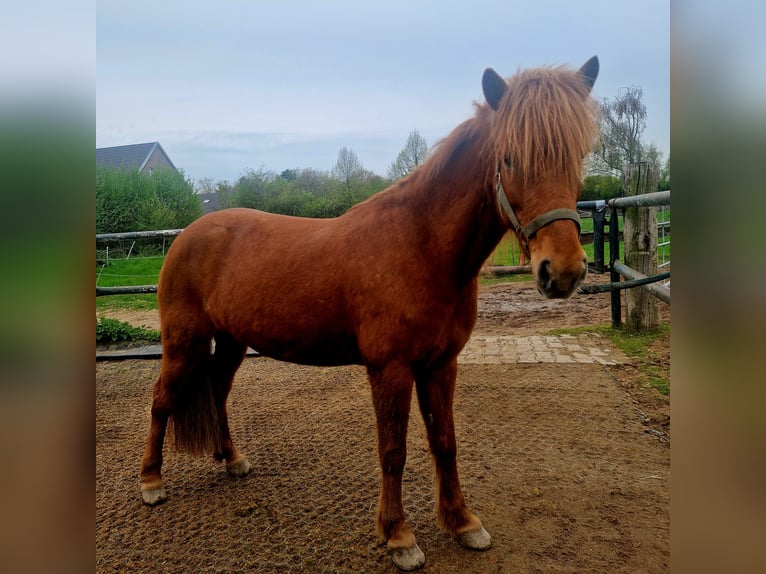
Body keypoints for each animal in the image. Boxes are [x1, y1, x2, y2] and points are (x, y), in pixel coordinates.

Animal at [139, 56, 600, 571]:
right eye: (509, 159)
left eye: (579, 156)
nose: (562, 271)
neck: (422, 247)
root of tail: (187, 234)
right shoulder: (390, 369)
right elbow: (393, 450)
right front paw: (399, 536)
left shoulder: (441, 365)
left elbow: (445, 443)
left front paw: (462, 523)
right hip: (183, 341)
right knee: (162, 400)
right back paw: (152, 483)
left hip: (232, 341)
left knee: (217, 392)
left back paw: (232, 458)